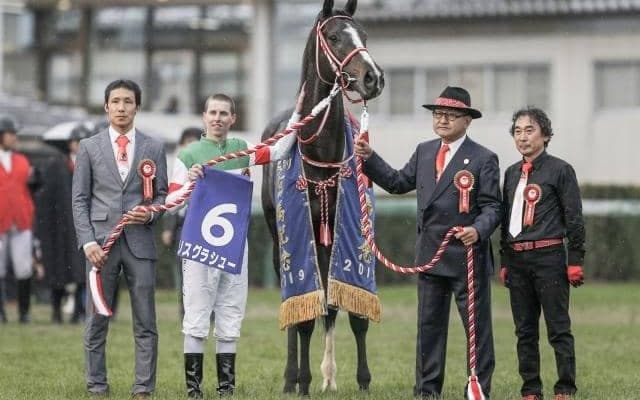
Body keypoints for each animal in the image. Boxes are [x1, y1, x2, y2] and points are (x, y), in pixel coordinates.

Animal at [260, 0, 384, 395]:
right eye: (333, 37)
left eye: (364, 34)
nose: (373, 77)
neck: (322, 153)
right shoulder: (302, 239)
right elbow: (304, 317)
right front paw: (301, 381)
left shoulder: (354, 238)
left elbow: (352, 312)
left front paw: (363, 380)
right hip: (279, 241)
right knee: (297, 306)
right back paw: (291, 378)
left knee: (330, 307)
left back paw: (329, 375)